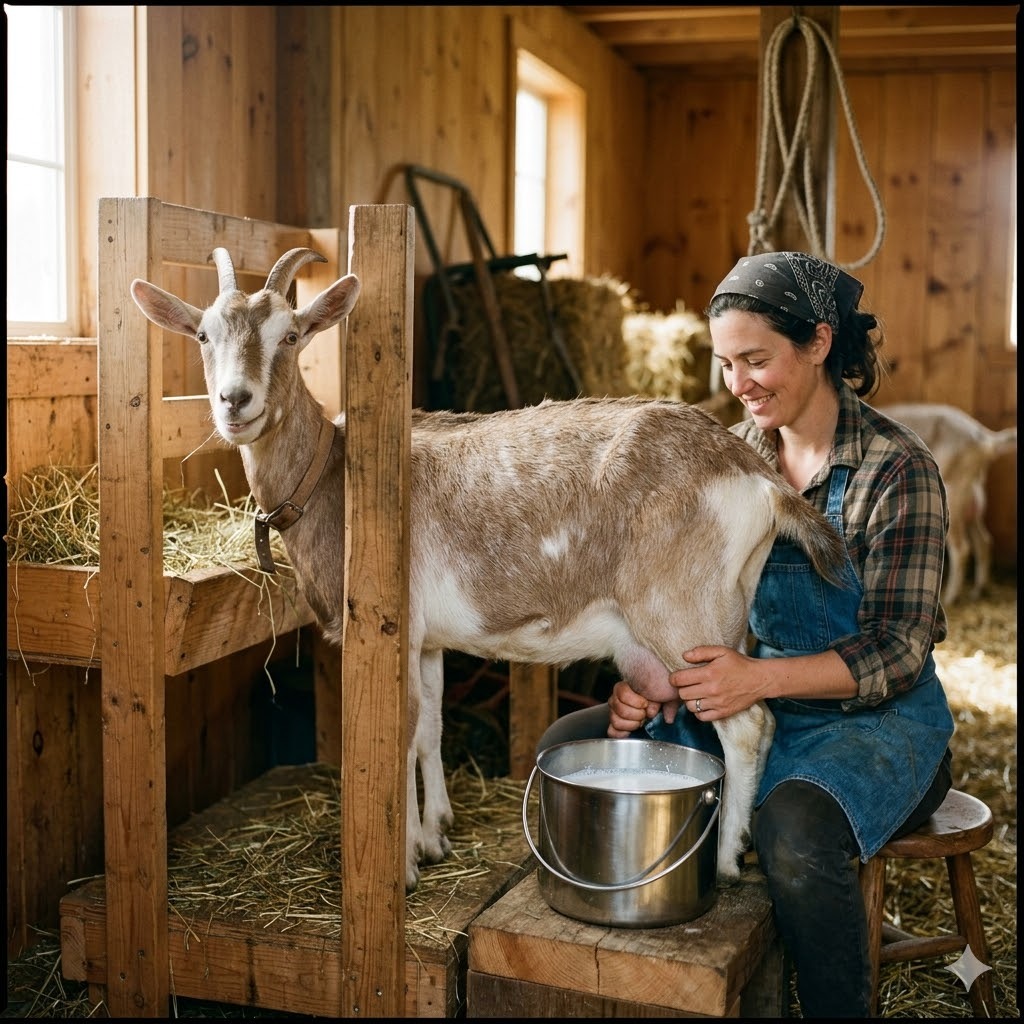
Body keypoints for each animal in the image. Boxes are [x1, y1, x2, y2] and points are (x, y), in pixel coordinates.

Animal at [131, 247, 848, 891]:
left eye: (291, 333)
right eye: (203, 333)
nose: (235, 401)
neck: (335, 477)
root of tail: (756, 477)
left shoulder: (389, 628)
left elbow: (399, 733)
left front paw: (404, 866)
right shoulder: (424, 640)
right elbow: (430, 727)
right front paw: (435, 836)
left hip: (685, 621)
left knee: (749, 725)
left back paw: (726, 862)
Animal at [880, 403, 1017, 605]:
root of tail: (984, 437)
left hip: (953, 494)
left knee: (962, 548)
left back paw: (951, 597)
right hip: (972, 497)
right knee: (983, 540)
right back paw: (979, 590)